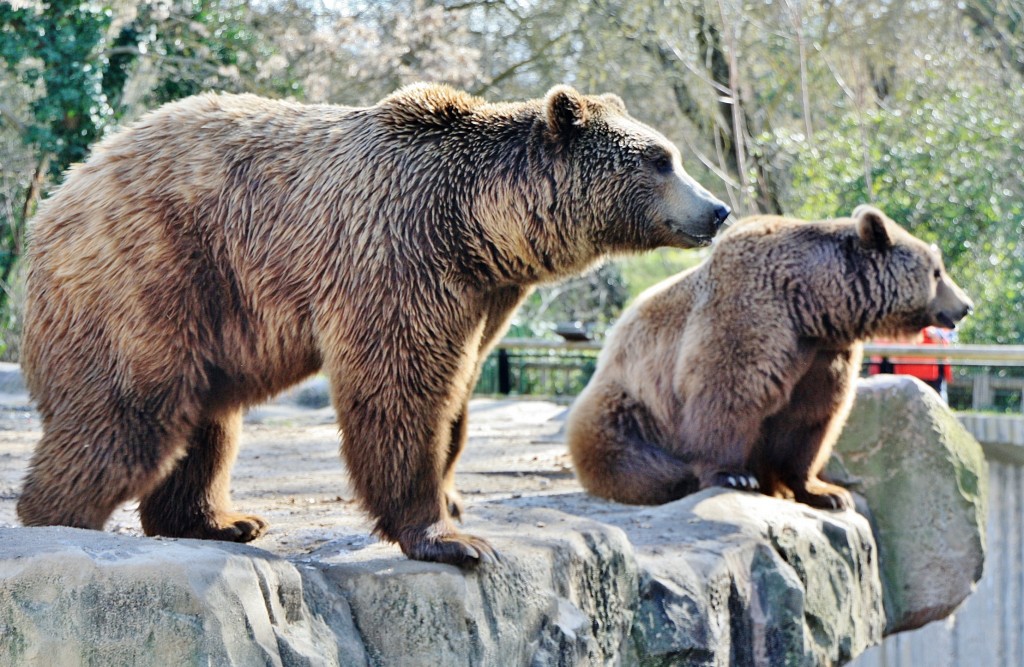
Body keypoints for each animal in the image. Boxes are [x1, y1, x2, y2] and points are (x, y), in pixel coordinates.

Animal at [569, 205, 974, 508]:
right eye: (937, 272)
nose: (965, 305)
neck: (812, 303)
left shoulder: (823, 356)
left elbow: (812, 420)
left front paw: (826, 492)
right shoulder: (751, 317)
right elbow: (726, 394)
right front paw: (733, 474)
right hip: (630, 402)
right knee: (626, 452)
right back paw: (675, 478)